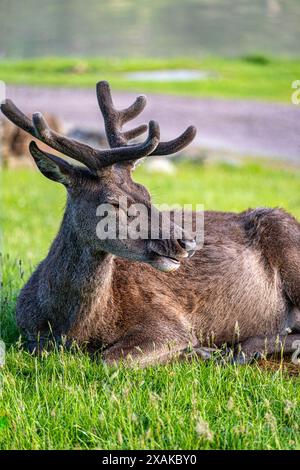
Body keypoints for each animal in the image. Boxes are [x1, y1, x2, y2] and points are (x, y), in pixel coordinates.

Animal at [1, 81, 300, 368]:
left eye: (146, 193)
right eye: (113, 202)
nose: (187, 241)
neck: (70, 327)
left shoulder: (169, 321)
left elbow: (110, 359)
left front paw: (201, 351)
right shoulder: (28, 334)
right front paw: (202, 352)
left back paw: (239, 351)